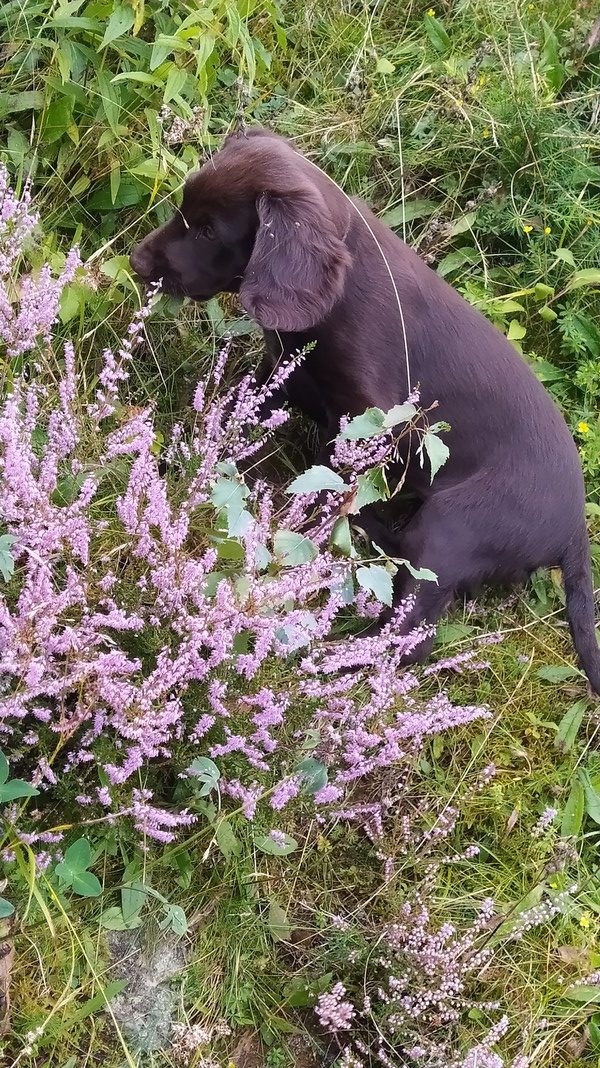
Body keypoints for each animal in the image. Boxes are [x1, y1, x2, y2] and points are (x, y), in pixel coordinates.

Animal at [131, 127, 600, 692]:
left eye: (205, 231)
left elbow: (328, 488)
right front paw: (177, 464)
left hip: (453, 526)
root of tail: (575, 532)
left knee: (408, 637)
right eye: (183, 209)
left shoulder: (371, 421)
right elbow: (235, 423)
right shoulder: (282, 371)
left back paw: (322, 656)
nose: (136, 264)